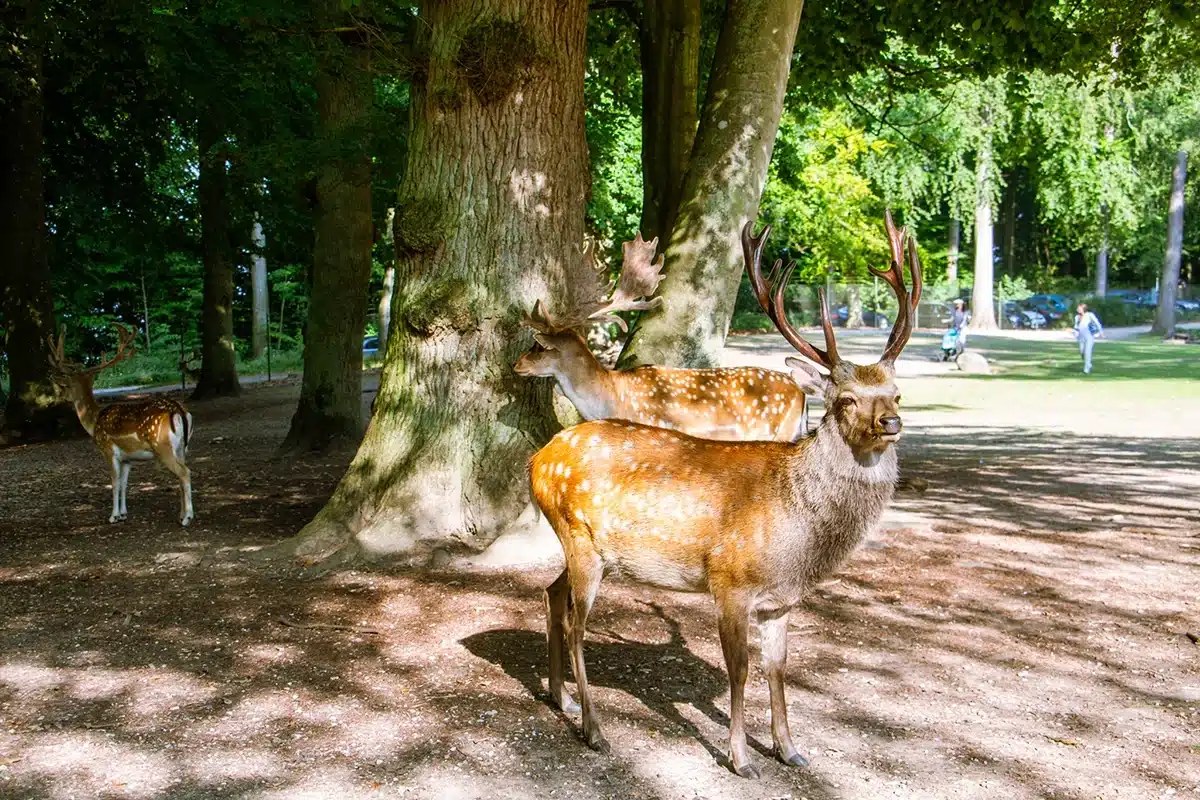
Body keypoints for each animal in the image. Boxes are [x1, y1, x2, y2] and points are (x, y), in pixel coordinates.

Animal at [47, 324, 195, 526]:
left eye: (66, 385)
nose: (58, 398)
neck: (94, 421)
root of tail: (179, 411)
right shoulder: (127, 459)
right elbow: (125, 483)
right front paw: (124, 513)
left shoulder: (108, 450)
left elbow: (114, 482)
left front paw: (113, 516)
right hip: (182, 447)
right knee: (181, 474)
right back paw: (181, 514)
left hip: (162, 446)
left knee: (184, 472)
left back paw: (187, 517)